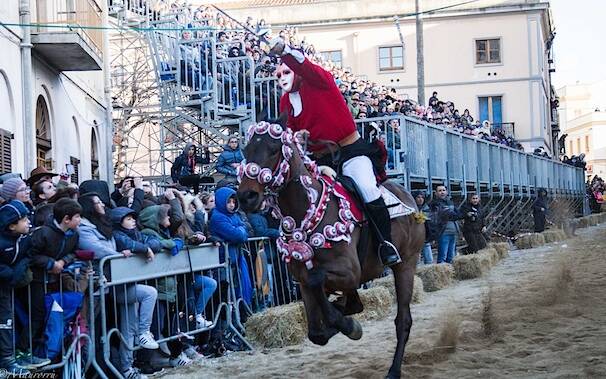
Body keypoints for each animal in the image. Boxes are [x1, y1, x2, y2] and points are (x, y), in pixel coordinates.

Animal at [238, 122, 428, 379]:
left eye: (274, 150)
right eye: (246, 150)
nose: (246, 196)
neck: (306, 215)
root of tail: (409, 198)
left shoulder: (350, 273)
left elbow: (318, 280)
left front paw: (349, 325)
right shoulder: (304, 281)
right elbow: (316, 332)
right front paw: (345, 321)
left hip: (406, 264)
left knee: (403, 320)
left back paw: (393, 370)